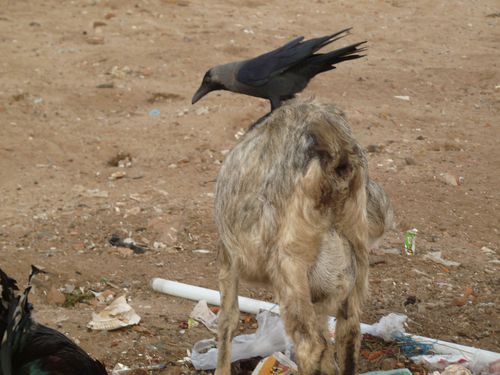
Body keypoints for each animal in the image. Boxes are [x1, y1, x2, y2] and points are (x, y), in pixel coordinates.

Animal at [213, 97, 392, 375]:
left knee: (310, 344)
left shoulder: (228, 257)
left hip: (290, 265)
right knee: (349, 332)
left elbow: (227, 319)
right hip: (357, 262)